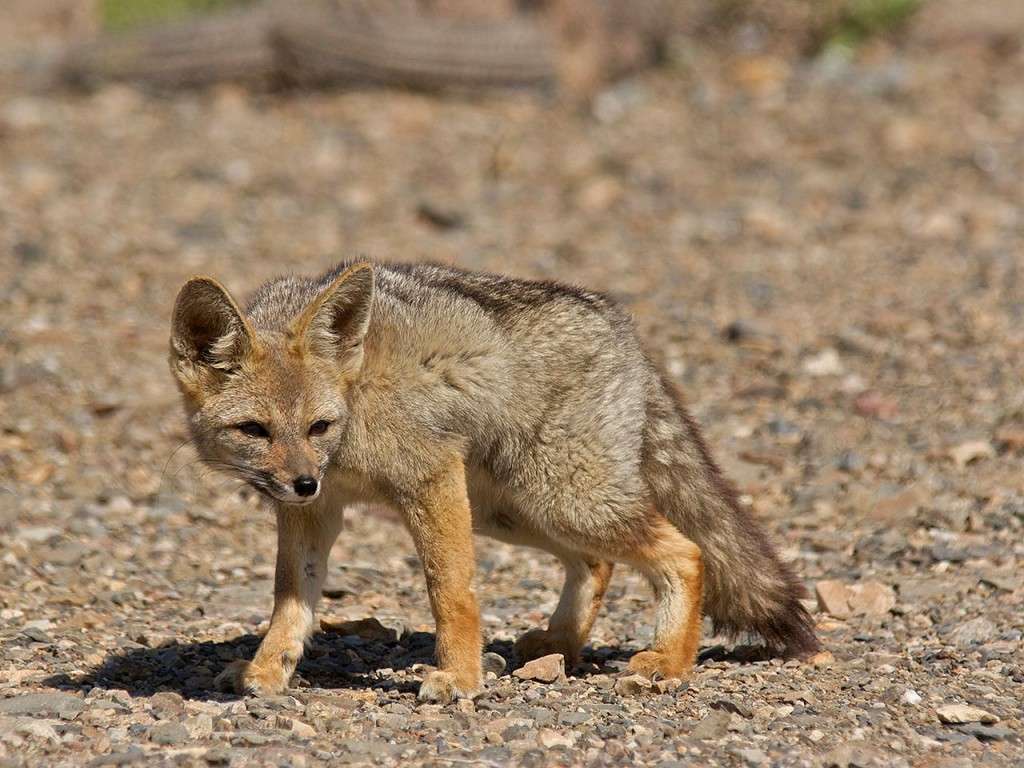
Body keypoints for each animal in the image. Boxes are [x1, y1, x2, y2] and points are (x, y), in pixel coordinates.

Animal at [172, 260, 819, 704]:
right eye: (255, 430)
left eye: (318, 426)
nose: (304, 480)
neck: (353, 413)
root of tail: (620, 327)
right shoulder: (314, 512)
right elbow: (291, 598)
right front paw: (268, 668)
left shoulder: (428, 479)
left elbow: (450, 590)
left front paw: (460, 676)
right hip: (514, 510)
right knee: (597, 563)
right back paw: (560, 643)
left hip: (560, 499)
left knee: (685, 552)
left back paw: (668, 661)